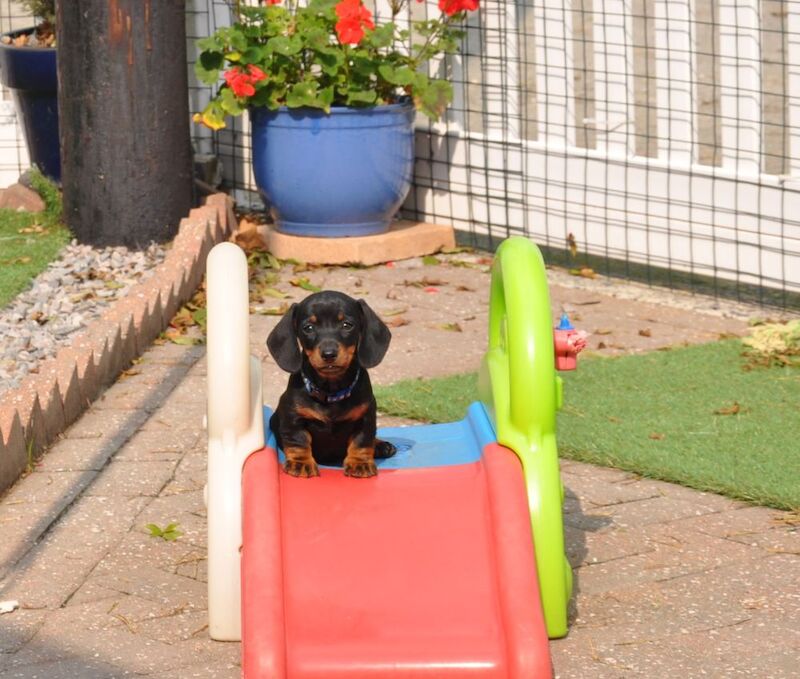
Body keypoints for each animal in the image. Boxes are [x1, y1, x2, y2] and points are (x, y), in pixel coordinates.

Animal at [268, 292, 396, 478]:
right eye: (308, 328)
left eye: (347, 325)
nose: (329, 354)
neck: (330, 392)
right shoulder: (293, 417)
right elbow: (298, 440)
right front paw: (301, 463)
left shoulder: (366, 416)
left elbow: (362, 441)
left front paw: (360, 463)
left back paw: (380, 445)